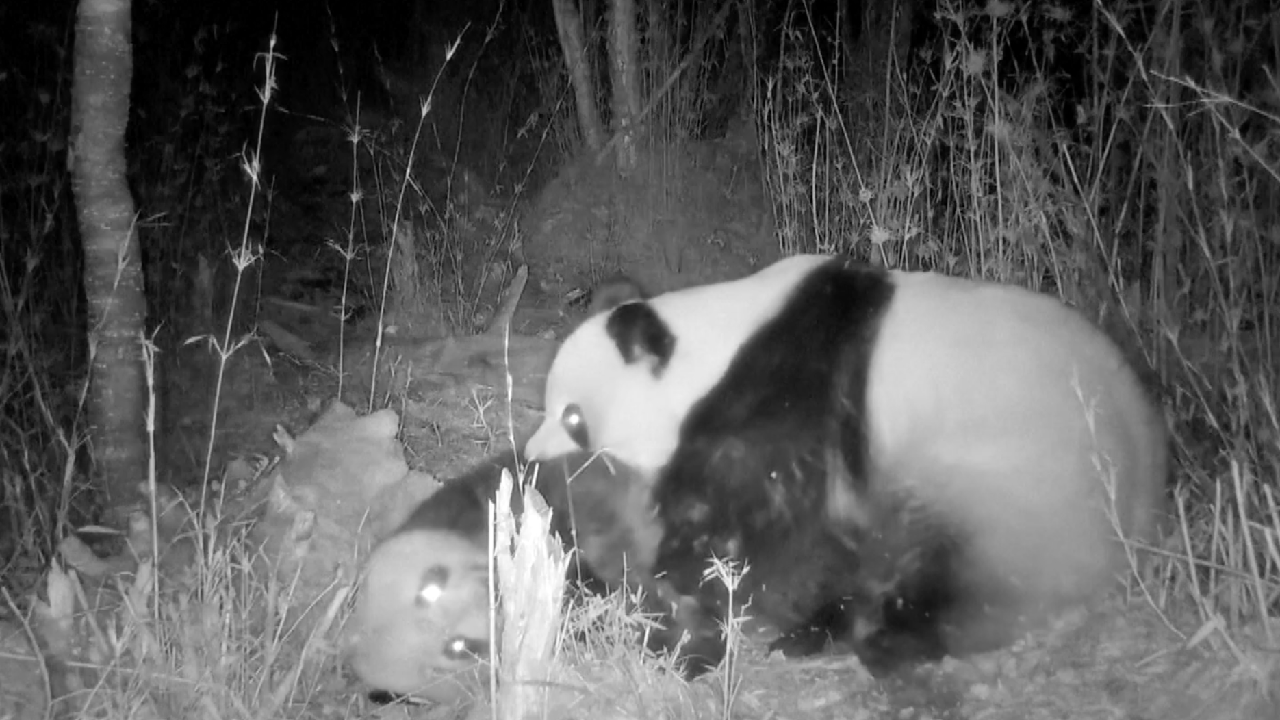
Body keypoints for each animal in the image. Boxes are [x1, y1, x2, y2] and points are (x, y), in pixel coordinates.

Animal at [522, 253, 1172, 676]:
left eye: (573, 418)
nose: (530, 458)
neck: (717, 350)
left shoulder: (794, 394)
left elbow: (763, 517)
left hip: (1022, 483)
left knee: (956, 565)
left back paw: (890, 637)